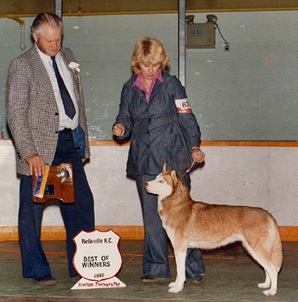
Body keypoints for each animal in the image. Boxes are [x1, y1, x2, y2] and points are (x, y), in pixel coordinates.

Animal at [146, 164, 282, 296]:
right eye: (155, 178)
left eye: (161, 181)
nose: (145, 184)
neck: (177, 205)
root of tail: (268, 214)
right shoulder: (182, 249)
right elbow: (180, 271)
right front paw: (175, 284)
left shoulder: (180, 248)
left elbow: (180, 271)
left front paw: (177, 288)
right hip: (254, 250)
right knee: (267, 269)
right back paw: (266, 284)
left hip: (257, 249)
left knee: (273, 269)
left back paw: (272, 291)